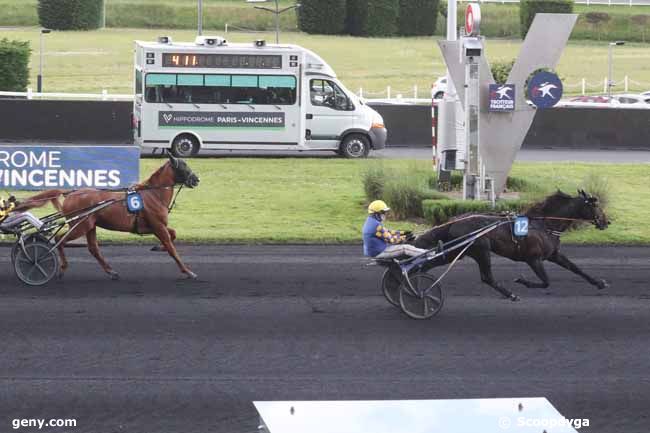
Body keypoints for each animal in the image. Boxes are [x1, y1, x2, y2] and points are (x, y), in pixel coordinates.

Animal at [17, 154, 200, 278]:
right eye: (184, 166)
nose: (196, 179)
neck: (153, 194)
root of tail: (71, 194)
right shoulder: (157, 226)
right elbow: (171, 248)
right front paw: (188, 271)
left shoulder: (154, 226)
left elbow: (173, 234)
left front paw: (157, 247)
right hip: (79, 226)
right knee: (59, 240)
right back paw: (60, 268)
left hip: (90, 226)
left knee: (93, 248)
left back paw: (111, 271)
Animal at [412, 189, 612, 300]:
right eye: (595, 205)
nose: (606, 222)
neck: (544, 225)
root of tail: (454, 220)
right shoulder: (534, 259)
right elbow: (546, 282)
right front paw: (522, 281)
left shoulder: (554, 254)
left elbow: (576, 268)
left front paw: (599, 283)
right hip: (480, 250)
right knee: (487, 277)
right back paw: (510, 294)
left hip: (458, 252)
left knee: (428, 264)